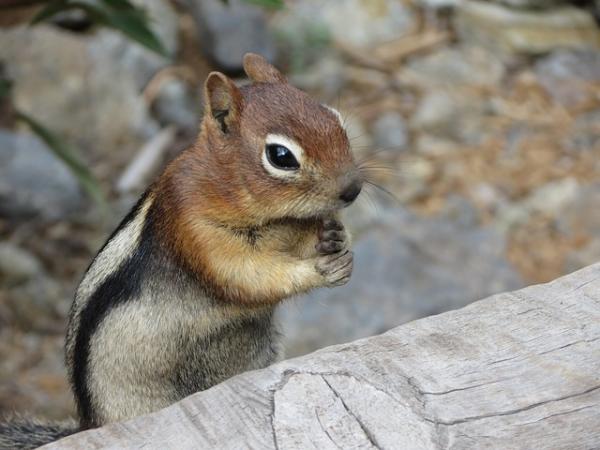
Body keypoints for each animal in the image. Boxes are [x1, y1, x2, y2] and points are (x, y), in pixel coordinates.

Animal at [0, 51, 360, 446]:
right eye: (281, 156)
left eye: (335, 117)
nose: (353, 189)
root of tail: (88, 424)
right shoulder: (196, 231)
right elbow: (246, 276)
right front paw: (319, 269)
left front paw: (335, 236)